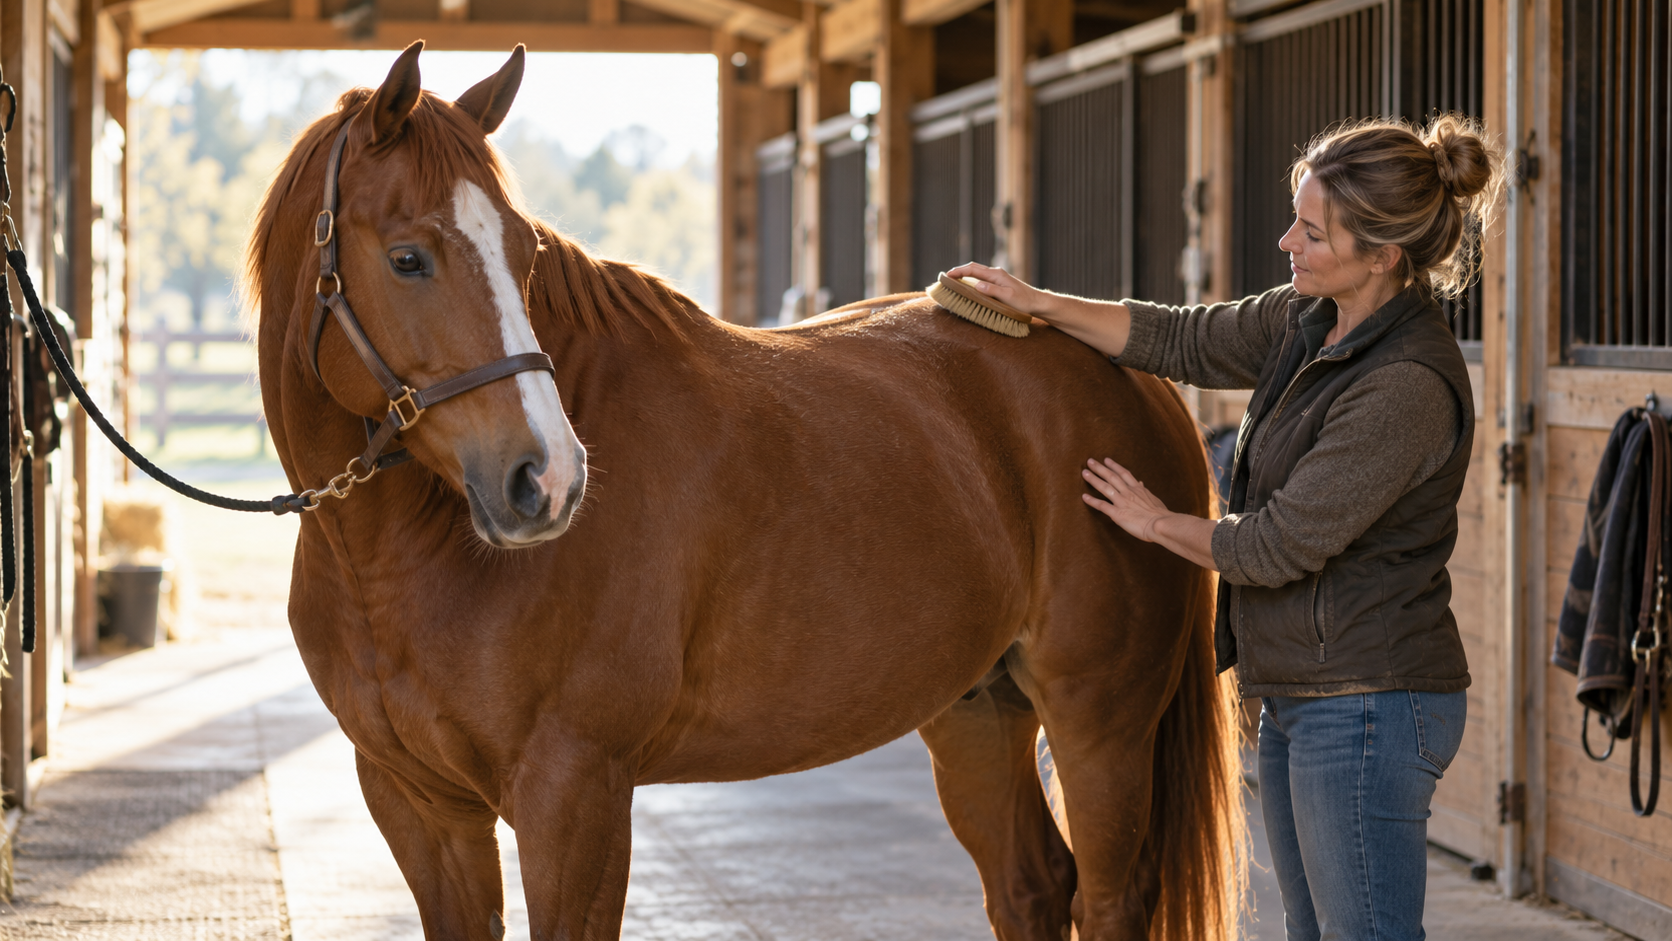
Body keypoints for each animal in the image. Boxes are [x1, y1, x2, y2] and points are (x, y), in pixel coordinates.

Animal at [248, 42, 1244, 941]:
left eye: (525, 253)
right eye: (407, 258)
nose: (548, 479)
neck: (395, 561)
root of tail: (1124, 363)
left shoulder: (574, 793)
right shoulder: (419, 804)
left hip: (1101, 719)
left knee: (1109, 897)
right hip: (979, 708)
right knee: (1032, 886)